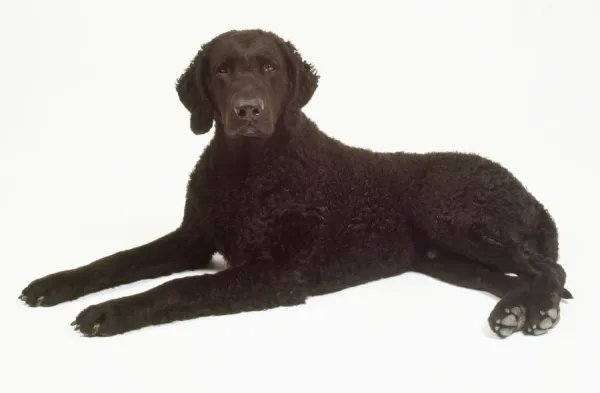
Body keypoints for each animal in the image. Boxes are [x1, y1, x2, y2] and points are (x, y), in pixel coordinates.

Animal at [19, 29, 572, 336]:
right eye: (221, 71)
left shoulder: (279, 272)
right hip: (448, 258)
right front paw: (55, 285)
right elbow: (116, 261)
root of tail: (529, 193)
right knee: (522, 275)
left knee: (551, 269)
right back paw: (517, 309)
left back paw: (533, 314)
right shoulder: (191, 239)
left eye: (269, 67)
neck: (248, 172)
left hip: (456, 215)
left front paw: (111, 312)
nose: (247, 110)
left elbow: (180, 287)